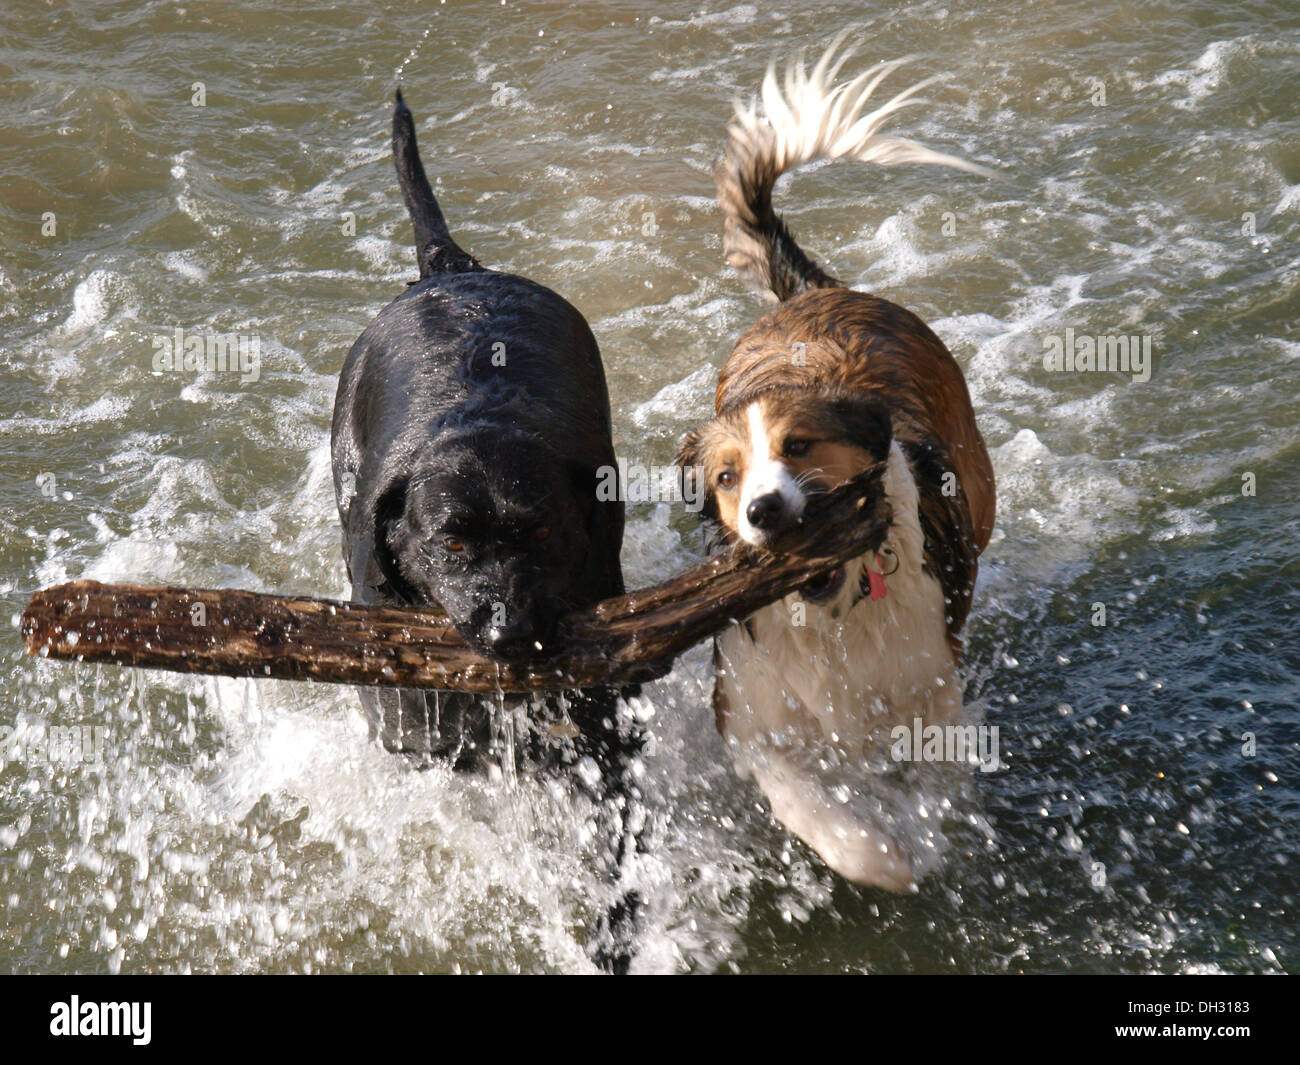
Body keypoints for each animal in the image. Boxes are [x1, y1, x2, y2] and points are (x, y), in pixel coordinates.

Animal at [330, 102, 644, 967]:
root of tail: (450, 269)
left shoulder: (605, 733)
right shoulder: (417, 730)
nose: (505, 631)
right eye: (452, 542)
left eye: (540, 531)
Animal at [681, 43, 993, 889]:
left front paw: (919, 837)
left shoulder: (932, 692)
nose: (764, 511)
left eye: (799, 446)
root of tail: (813, 294)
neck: (834, 615)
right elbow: (816, 810)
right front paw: (879, 855)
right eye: (727, 477)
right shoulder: (753, 717)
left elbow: (934, 780)